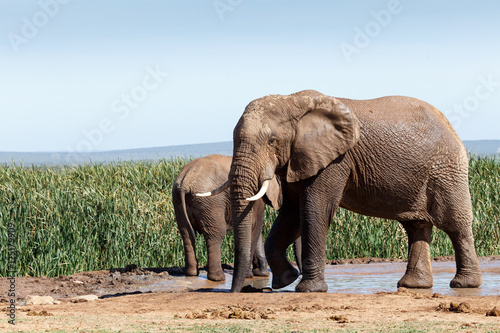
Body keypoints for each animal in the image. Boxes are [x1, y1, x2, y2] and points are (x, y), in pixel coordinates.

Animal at [227, 89, 480, 292]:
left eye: (272, 141)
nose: (241, 291)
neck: (291, 101)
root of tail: (450, 126)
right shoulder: (298, 159)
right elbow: (290, 215)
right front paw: (285, 281)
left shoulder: (335, 160)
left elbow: (314, 210)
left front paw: (308, 289)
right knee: (416, 225)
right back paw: (413, 285)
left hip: (446, 169)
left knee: (454, 224)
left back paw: (464, 284)